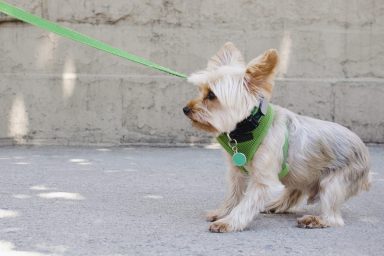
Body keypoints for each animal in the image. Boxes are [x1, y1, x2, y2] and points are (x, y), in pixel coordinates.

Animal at [184, 41, 370, 232]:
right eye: (201, 90)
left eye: (211, 95)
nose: (185, 109)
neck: (248, 127)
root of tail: (363, 149)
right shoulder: (237, 173)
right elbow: (234, 195)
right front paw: (222, 212)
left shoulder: (263, 180)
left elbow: (246, 204)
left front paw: (228, 222)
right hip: (302, 173)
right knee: (295, 191)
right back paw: (276, 205)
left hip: (335, 181)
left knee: (334, 216)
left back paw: (316, 220)